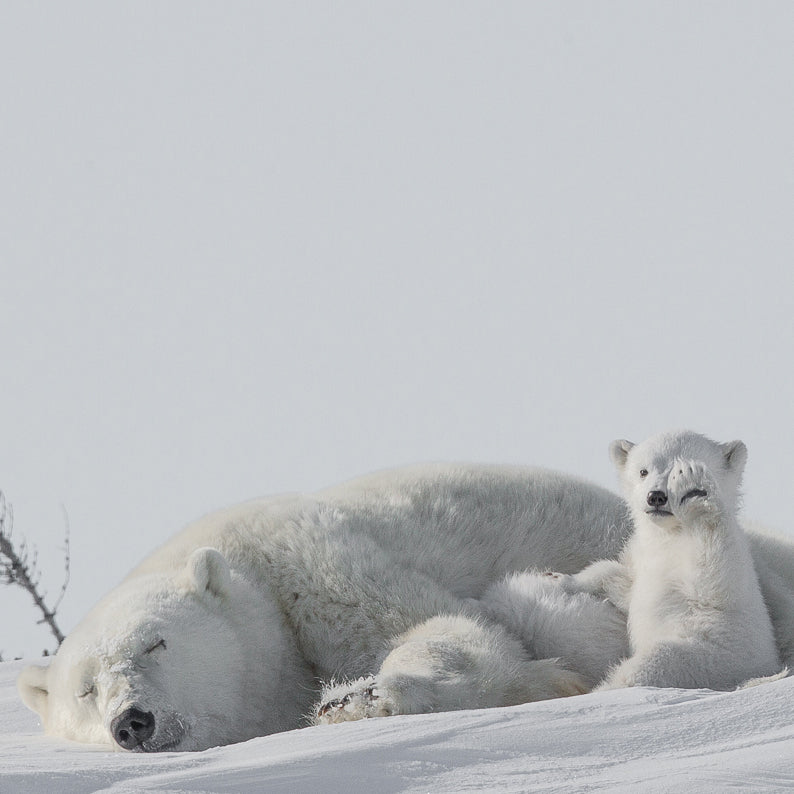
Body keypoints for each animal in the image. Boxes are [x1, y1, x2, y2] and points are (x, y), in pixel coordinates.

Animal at [525, 430, 783, 690]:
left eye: (679, 471)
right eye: (643, 471)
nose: (656, 496)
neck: (669, 535)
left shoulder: (729, 562)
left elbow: (714, 579)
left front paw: (697, 493)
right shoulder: (642, 555)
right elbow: (623, 583)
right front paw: (557, 577)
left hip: (709, 658)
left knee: (652, 662)